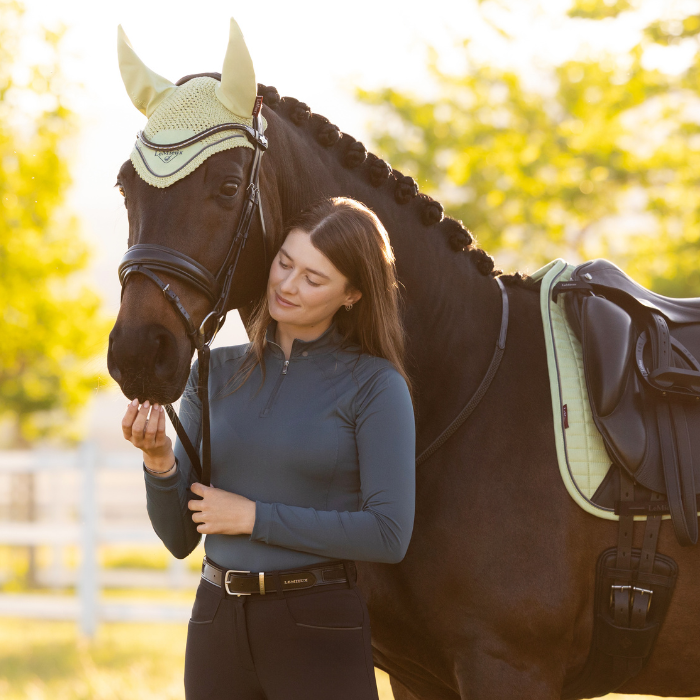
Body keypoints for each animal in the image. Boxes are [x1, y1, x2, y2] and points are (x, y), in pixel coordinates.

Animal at [108, 79, 700, 699]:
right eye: (127, 188)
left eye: (226, 187)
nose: (138, 352)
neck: (464, 383)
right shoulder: (419, 676)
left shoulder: (509, 666)